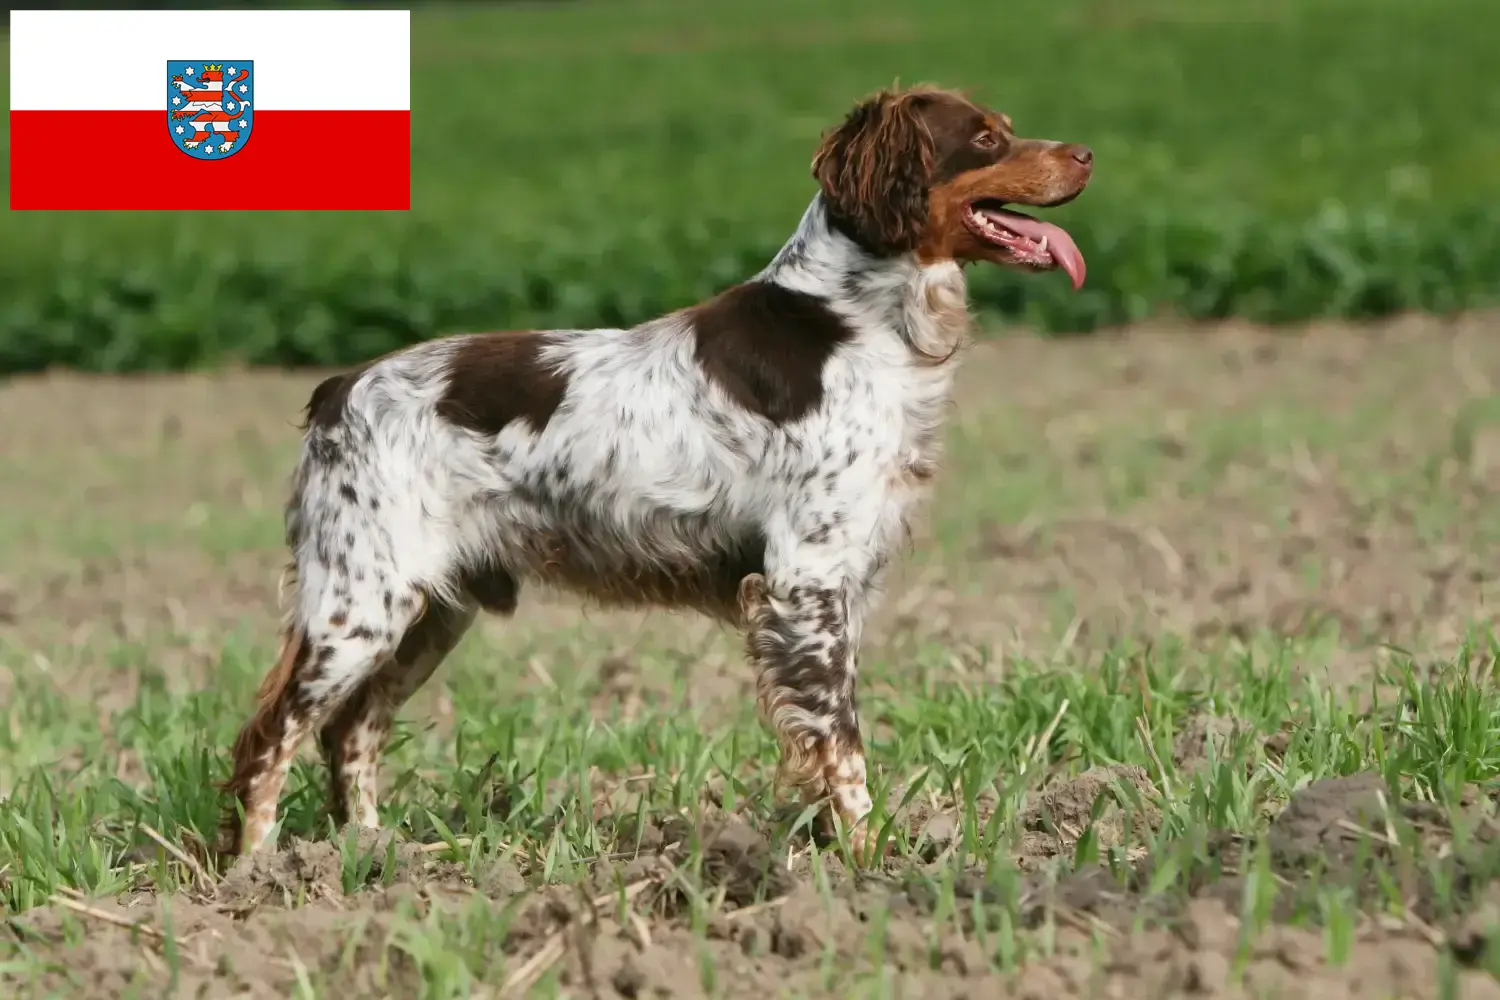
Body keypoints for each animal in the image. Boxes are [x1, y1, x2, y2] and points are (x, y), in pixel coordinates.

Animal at [219, 83, 1092, 863]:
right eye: (985, 138)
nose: (1086, 154)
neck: (857, 320)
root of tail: (340, 388)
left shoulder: (836, 585)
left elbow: (819, 740)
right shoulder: (805, 581)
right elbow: (842, 743)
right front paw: (868, 858)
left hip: (429, 611)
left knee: (349, 732)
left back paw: (369, 857)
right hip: (359, 604)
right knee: (269, 737)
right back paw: (255, 876)